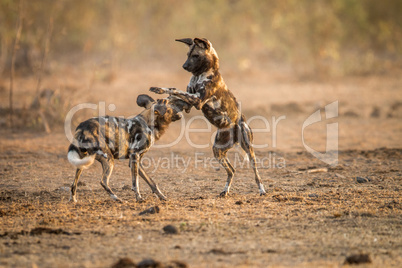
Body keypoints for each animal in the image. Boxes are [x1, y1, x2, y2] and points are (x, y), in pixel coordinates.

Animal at [151, 37, 266, 197]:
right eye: (188, 54)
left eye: (196, 56)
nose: (184, 66)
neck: (200, 75)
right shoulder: (188, 102)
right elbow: (173, 96)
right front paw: (158, 100)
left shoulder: (197, 100)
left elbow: (174, 89)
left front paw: (159, 89)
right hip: (218, 150)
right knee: (232, 170)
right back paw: (225, 191)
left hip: (248, 150)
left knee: (256, 173)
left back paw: (262, 190)